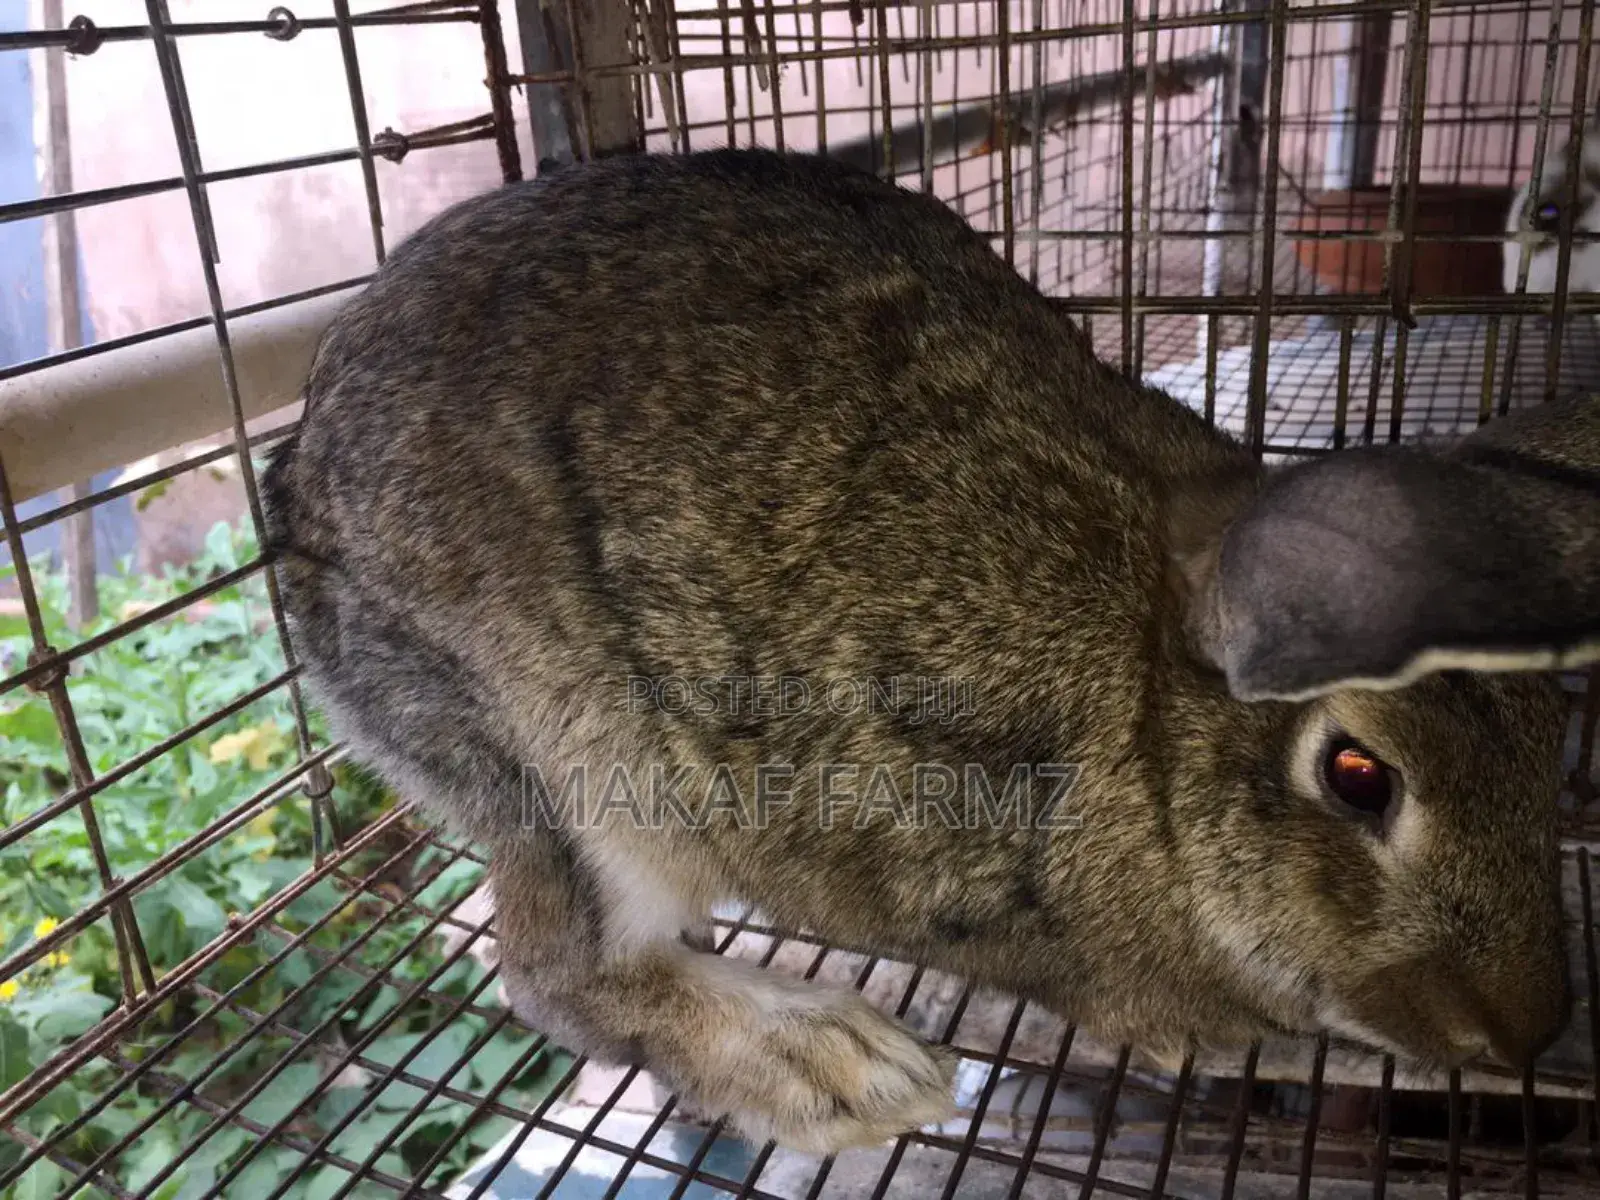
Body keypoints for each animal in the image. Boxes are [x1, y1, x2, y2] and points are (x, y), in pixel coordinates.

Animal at [261, 148, 1600, 1156]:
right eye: (1357, 775)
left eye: (1555, 731)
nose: (1519, 1039)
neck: (1149, 714)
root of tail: (297, 498)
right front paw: (1185, 1033)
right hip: (569, 757)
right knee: (560, 970)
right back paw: (833, 1064)